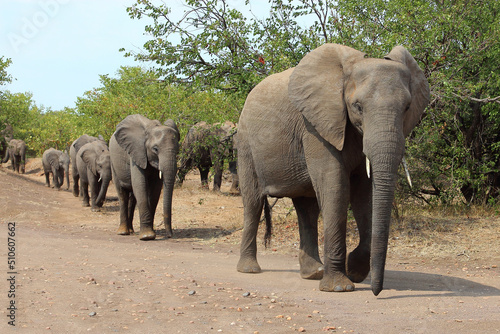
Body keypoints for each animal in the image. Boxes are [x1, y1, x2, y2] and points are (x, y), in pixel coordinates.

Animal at [237, 43, 430, 294]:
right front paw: (340, 287)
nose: (377, 292)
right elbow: (336, 189)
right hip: (245, 144)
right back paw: (249, 270)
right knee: (253, 202)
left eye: (407, 107)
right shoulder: (316, 128)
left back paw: (314, 273)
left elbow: (364, 194)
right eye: (357, 107)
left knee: (306, 207)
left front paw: (355, 271)